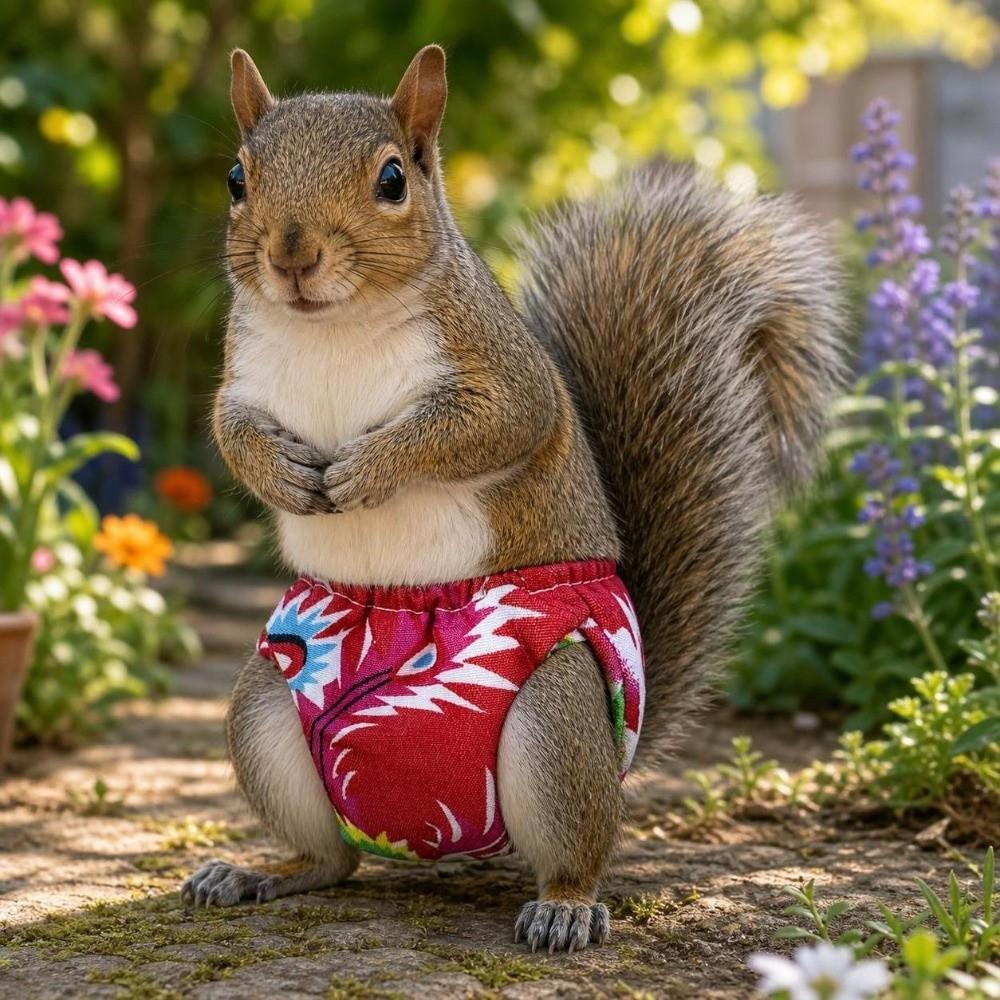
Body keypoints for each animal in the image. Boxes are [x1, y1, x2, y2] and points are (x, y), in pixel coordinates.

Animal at [180, 45, 842, 953]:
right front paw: (281, 473)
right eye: (237, 179)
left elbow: (488, 427)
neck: (331, 327)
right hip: (265, 708)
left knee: (574, 849)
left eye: (393, 179)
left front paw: (371, 468)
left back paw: (564, 907)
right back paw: (255, 873)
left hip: (555, 716)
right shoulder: (242, 379)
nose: (291, 257)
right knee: (333, 860)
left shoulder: (503, 374)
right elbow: (230, 431)